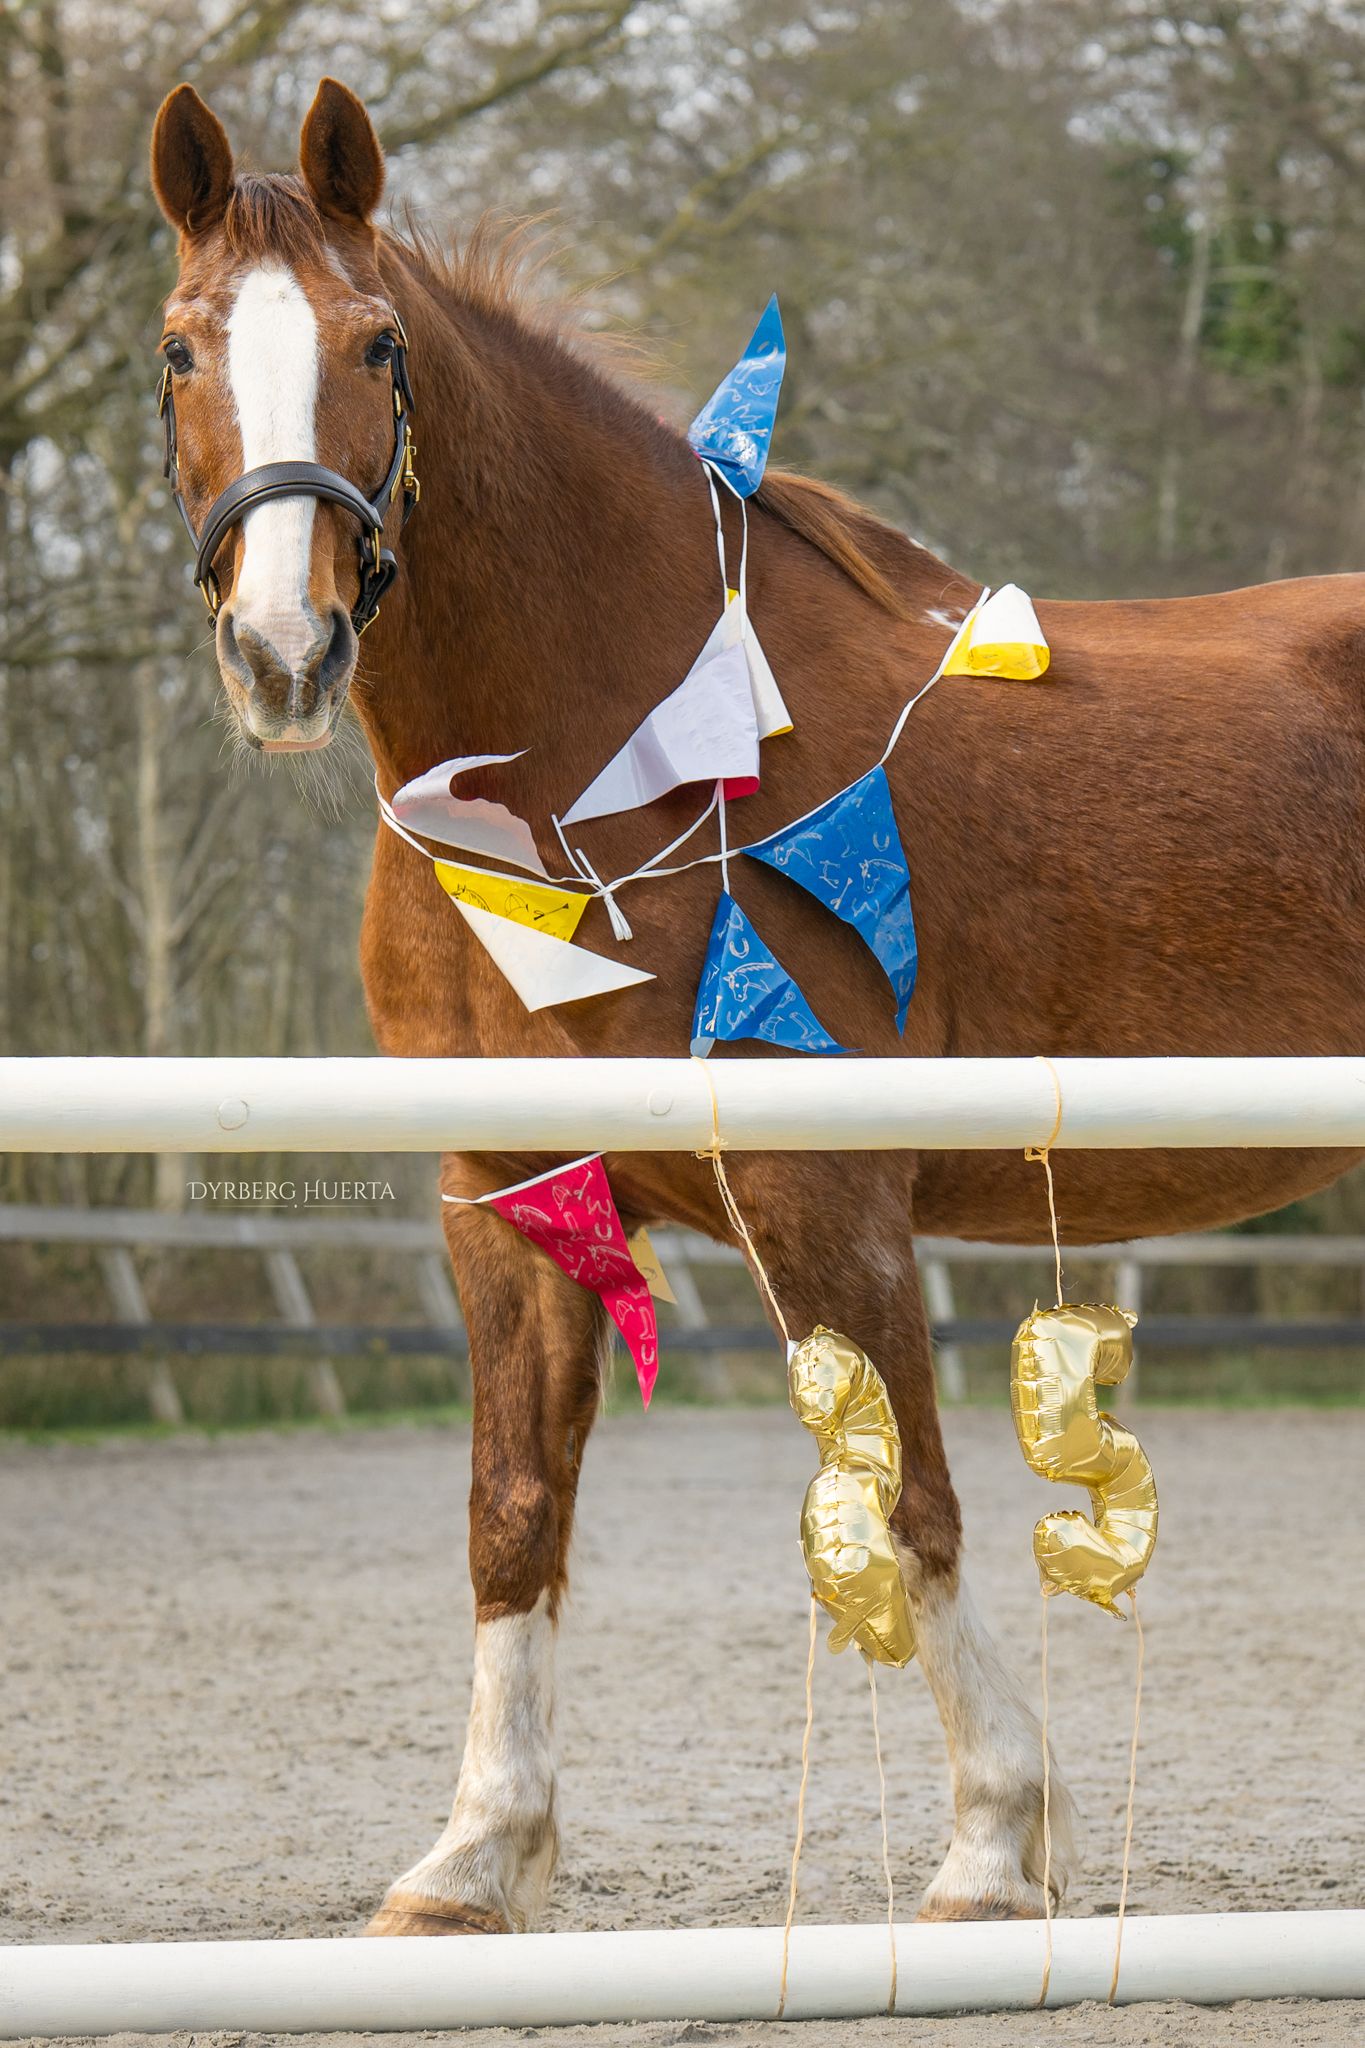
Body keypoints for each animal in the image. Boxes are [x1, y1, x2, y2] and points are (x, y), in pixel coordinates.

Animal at [149, 76, 1365, 1937]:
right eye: (177, 349)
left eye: (376, 346)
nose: (285, 651)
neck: (617, 757)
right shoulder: (509, 1204)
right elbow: (513, 1512)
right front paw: (476, 1855)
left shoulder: (826, 1197)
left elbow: (909, 1500)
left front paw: (995, 1844)